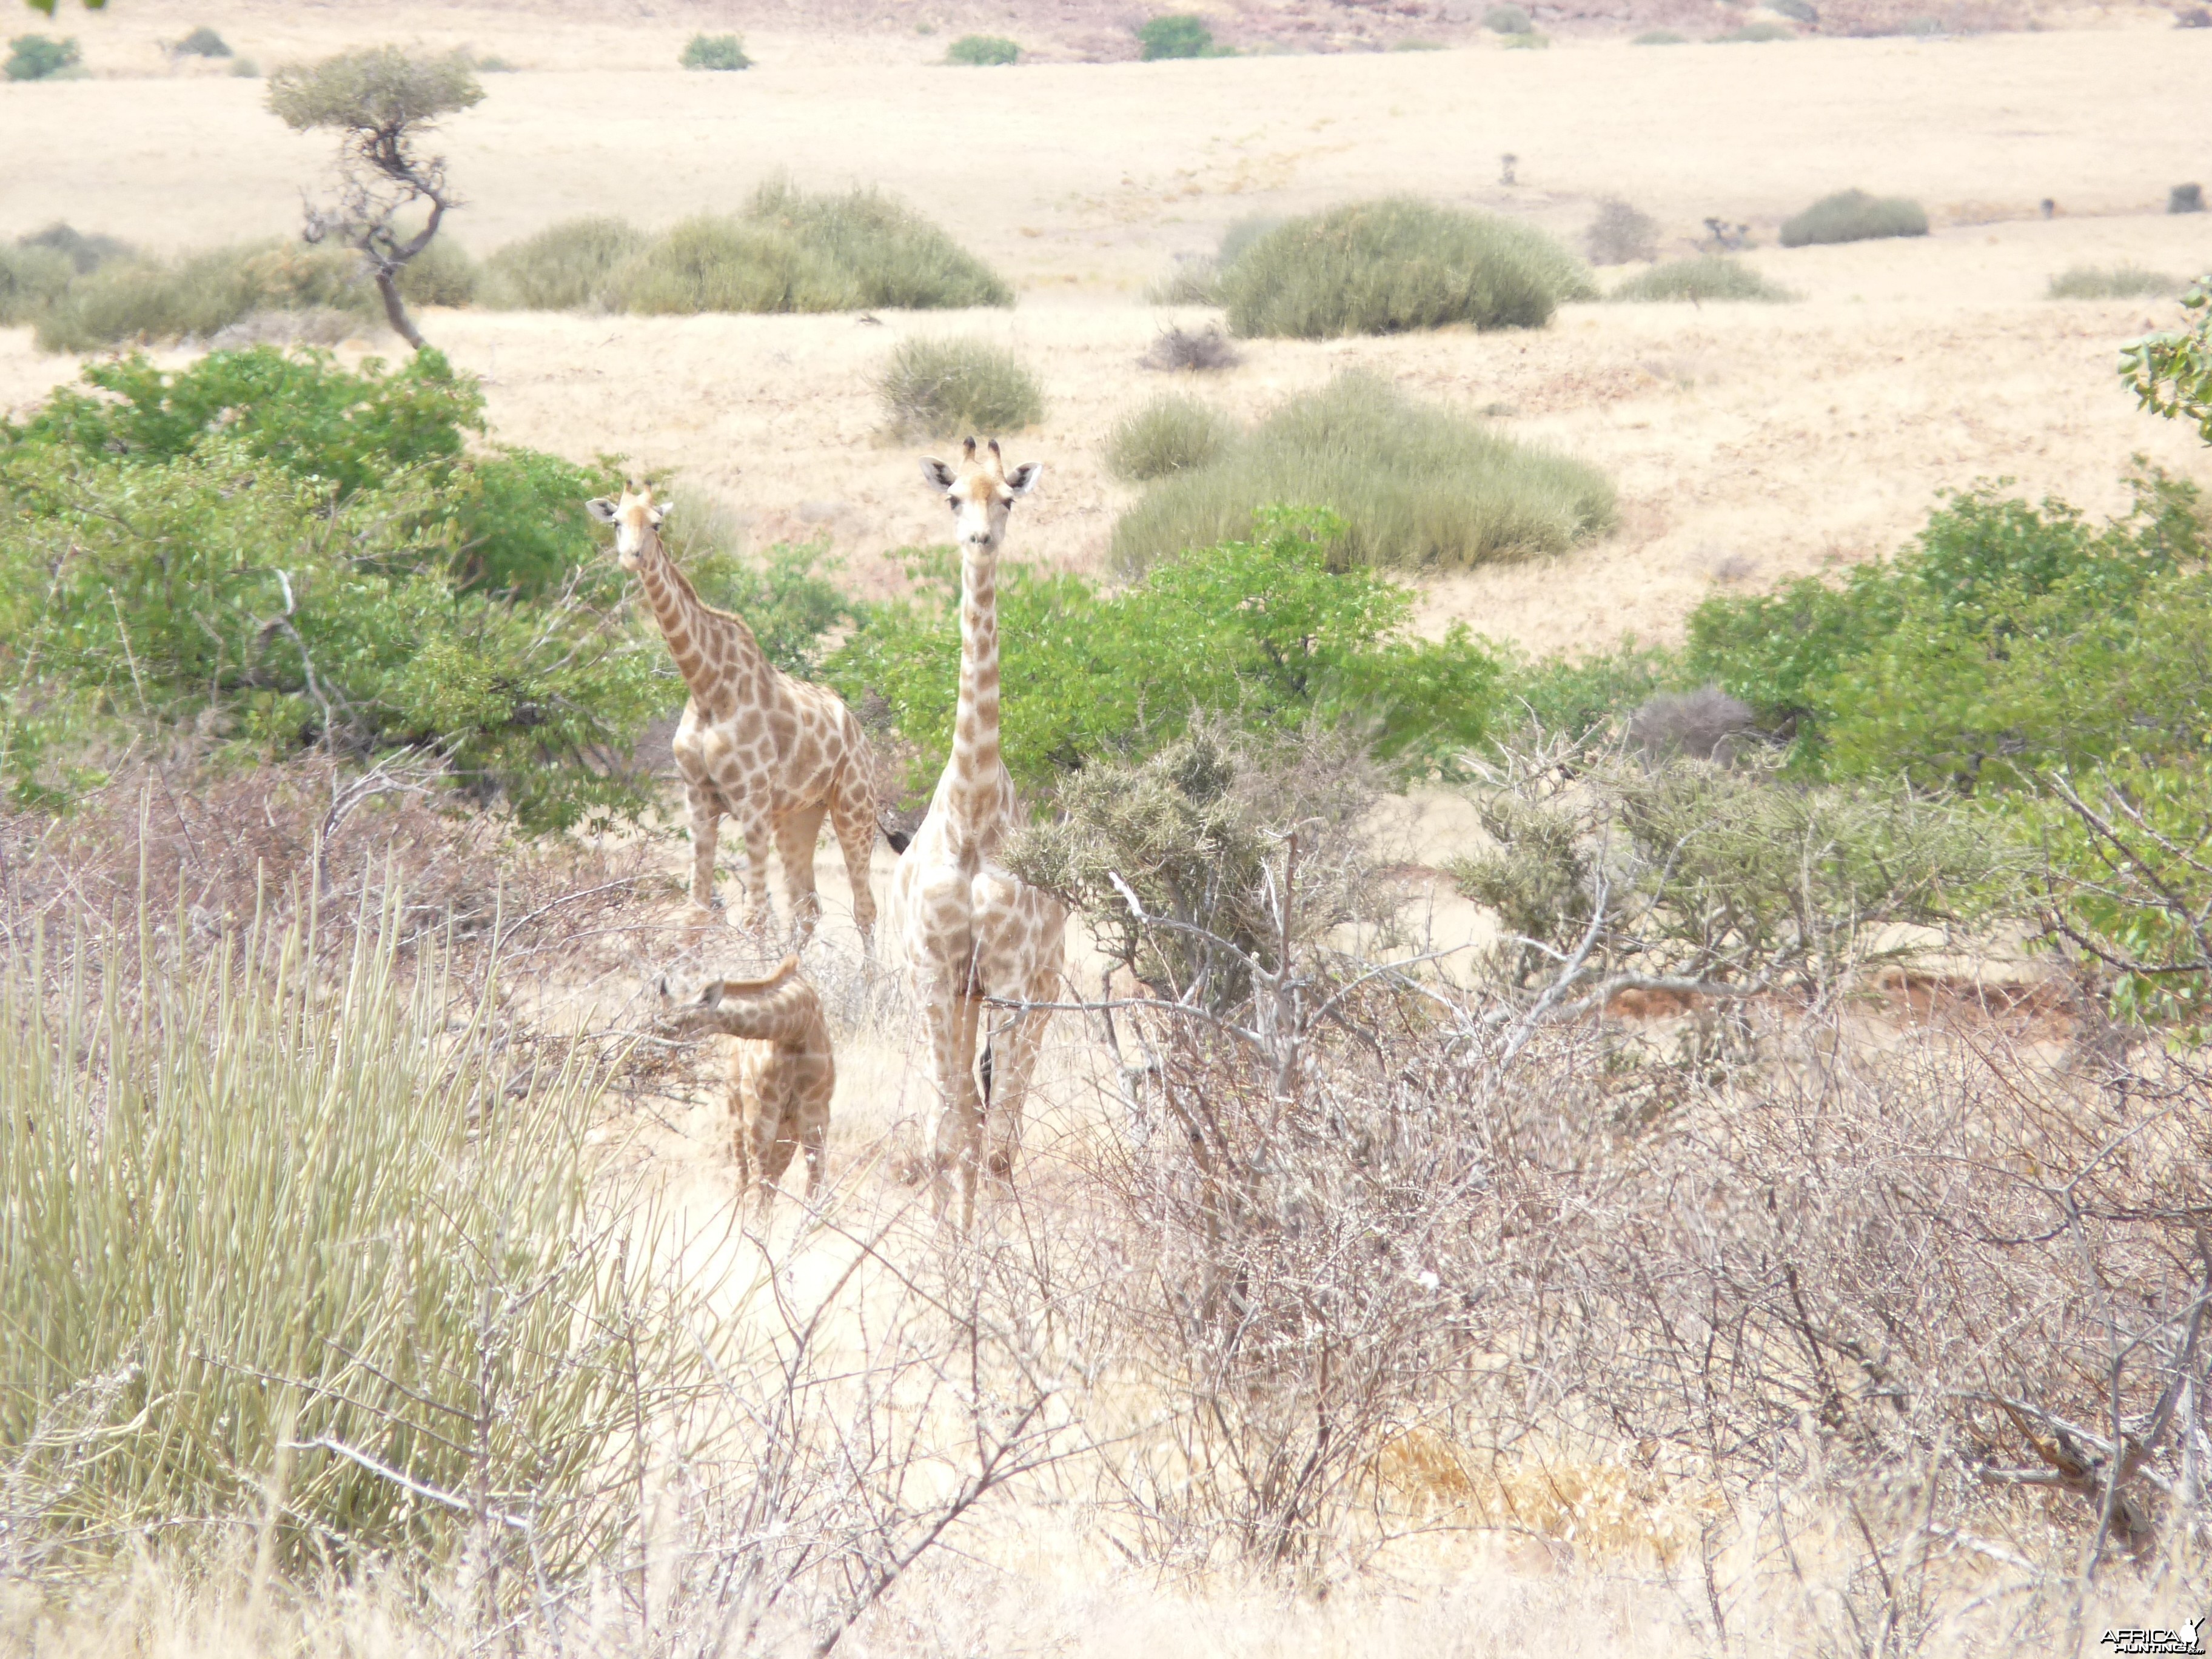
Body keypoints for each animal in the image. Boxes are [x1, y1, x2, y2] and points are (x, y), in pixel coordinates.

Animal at [597, 480, 889, 947]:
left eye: (657, 523)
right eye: (616, 522)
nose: (632, 557)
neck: (707, 688)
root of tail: (859, 732)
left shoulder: (751, 798)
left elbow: (755, 916)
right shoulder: (698, 796)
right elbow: (695, 913)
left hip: (855, 805)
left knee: (864, 909)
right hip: (798, 815)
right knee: (807, 908)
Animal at [659, 955, 831, 1212]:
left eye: (678, 1023)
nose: (656, 1052)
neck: (798, 1028)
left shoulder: (815, 1117)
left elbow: (815, 1186)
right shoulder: (760, 1116)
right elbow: (757, 1186)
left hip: (785, 1131)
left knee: (769, 1181)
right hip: (738, 1115)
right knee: (745, 1179)